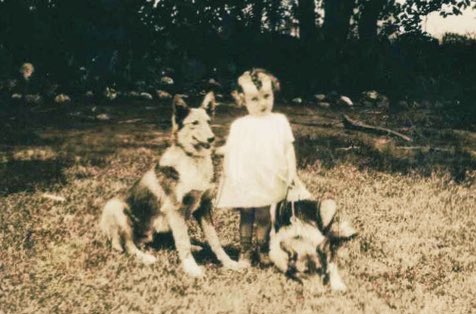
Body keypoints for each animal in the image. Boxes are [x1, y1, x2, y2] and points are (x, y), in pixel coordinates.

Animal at [101, 91, 242, 278]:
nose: (212, 138)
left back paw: (194, 247)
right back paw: (145, 257)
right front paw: (192, 269)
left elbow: (214, 240)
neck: (193, 159)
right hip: (114, 206)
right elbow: (183, 242)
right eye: (194, 123)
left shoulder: (203, 207)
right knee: (128, 244)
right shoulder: (175, 209)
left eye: (209, 122)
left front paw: (229, 263)